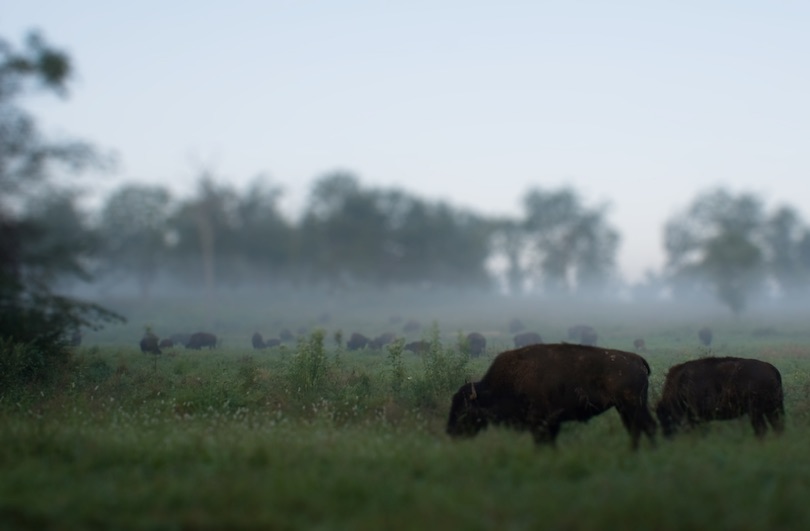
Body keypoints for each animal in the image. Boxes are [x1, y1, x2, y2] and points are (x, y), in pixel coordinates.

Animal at [442, 342, 656, 450]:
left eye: (464, 410)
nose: (450, 432)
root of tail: (637, 359)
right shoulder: (549, 424)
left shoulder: (541, 422)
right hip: (624, 408)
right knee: (635, 429)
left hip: (634, 406)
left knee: (648, 426)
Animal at [656, 358, 784, 440]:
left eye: (664, 416)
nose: (667, 436)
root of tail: (771, 368)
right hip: (771, 410)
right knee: (776, 426)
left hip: (756, 412)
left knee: (761, 429)